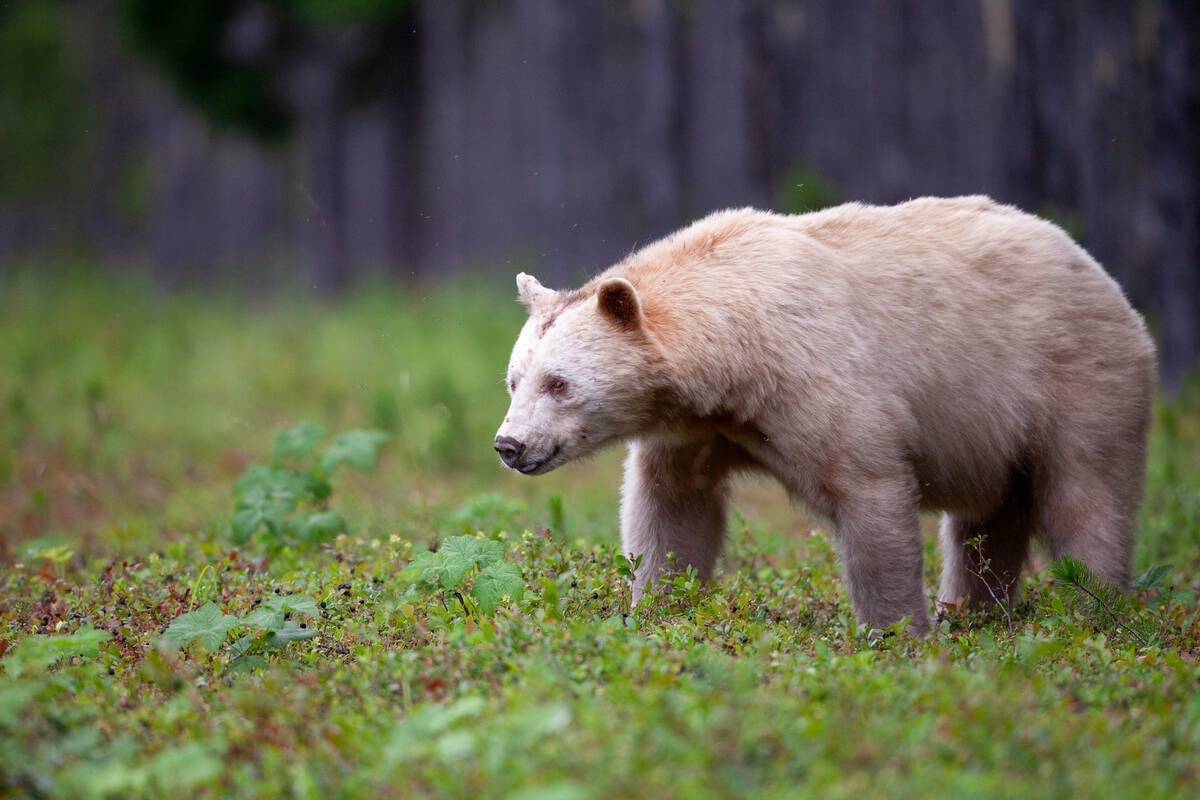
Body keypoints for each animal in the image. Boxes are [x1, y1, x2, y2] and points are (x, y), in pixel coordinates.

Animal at [494, 196, 1155, 633]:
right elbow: (673, 510)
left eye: (559, 383)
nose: (509, 445)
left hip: (1075, 380)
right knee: (987, 523)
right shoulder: (695, 428)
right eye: (514, 381)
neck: (737, 354)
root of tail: (1102, 275)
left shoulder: (818, 380)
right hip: (998, 434)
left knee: (1087, 499)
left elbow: (869, 494)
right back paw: (973, 611)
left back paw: (1094, 608)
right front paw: (656, 606)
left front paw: (895, 632)